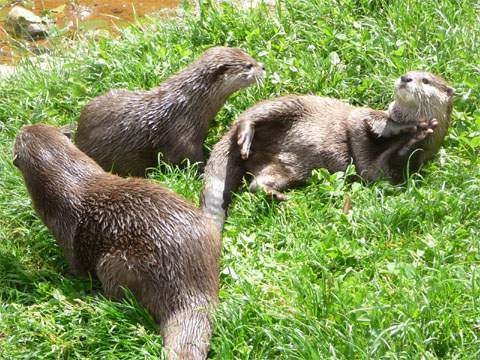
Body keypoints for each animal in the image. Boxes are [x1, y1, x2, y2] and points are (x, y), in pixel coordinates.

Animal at [14, 124, 222, 360]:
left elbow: (77, 269)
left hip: (115, 264)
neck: (70, 180)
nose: (23, 126)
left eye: (19, 135)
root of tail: (190, 289)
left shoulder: (67, 233)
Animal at [73, 46, 264, 177]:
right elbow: (190, 162)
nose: (263, 67)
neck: (188, 106)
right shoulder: (182, 138)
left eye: (250, 55)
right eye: (248, 65)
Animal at [202, 70, 454, 226]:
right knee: (250, 117)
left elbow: (386, 170)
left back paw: (277, 195)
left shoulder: (389, 171)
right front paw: (409, 127)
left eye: (426, 80)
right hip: (284, 105)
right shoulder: (364, 115)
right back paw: (245, 136)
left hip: (285, 169)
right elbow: (370, 120)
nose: (405, 77)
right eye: (410, 71)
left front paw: (417, 136)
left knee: (256, 184)